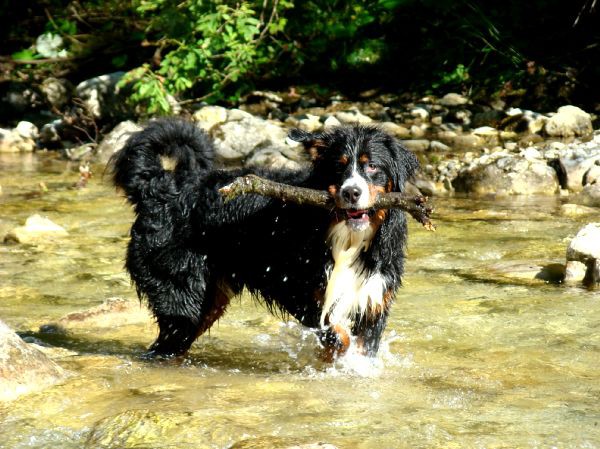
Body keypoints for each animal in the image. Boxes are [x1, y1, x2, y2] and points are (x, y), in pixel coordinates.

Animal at [109, 117, 418, 358]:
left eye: (372, 167)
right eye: (339, 167)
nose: (352, 192)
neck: (347, 238)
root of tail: (157, 186)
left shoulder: (374, 298)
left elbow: (359, 345)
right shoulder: (301, 290)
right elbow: (337, 334)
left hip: (207, 301)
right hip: (182, 297)